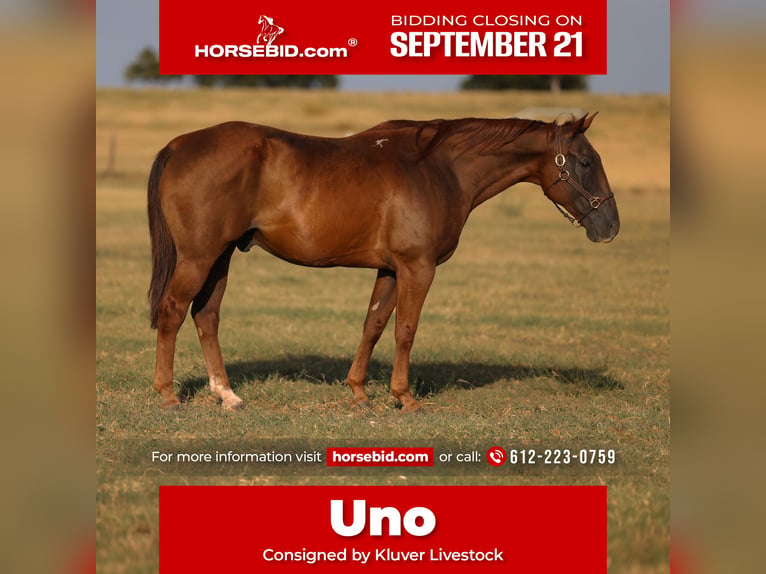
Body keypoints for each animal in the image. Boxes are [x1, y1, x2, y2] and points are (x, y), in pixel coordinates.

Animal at [147, 114, 619, 412]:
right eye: (585, 162)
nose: (611, 225)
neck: (439, 169)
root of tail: (178, 144)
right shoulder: (418, 267)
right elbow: (405, 330)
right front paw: (404, 398)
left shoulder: (391, 269)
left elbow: (373, 324)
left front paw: (359, 392)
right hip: (199, 257)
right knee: (173, 312)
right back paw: (168, 396)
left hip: (221, 257)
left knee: (206, 316)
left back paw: (227, 396)